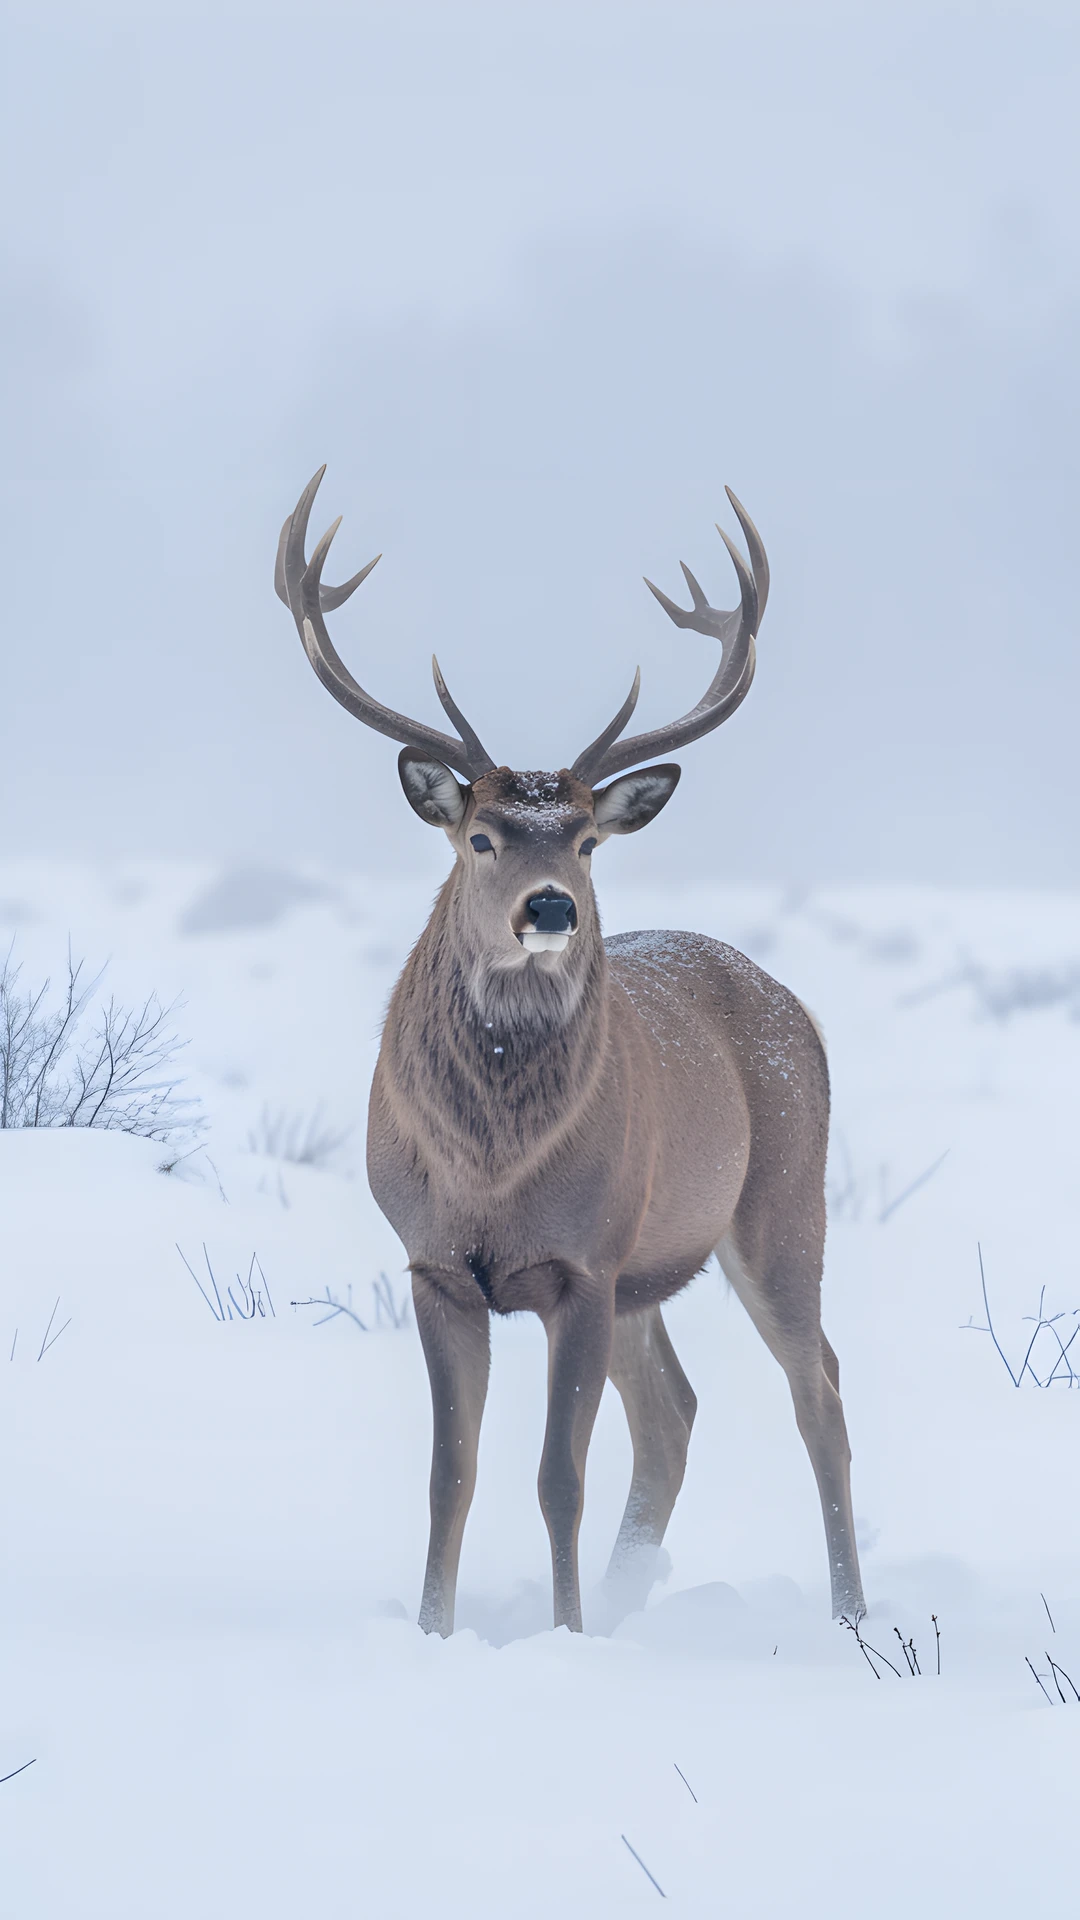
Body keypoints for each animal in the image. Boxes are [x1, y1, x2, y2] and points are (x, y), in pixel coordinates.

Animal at [275, 468, 865, 1637]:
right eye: (479, 836)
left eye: (589, 841)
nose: (551, 907)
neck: (493, 1168)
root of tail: (800, 1013)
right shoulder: (436, 1262)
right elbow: (449, 1473)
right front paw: (435, 1630)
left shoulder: (582, 1264)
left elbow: (557, 1475)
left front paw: (565, 1635)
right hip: (650, 1263)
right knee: (677, 1410)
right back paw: (644, 1593)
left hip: (777, 1200)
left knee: (818, 1387)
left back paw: (851, 1617)